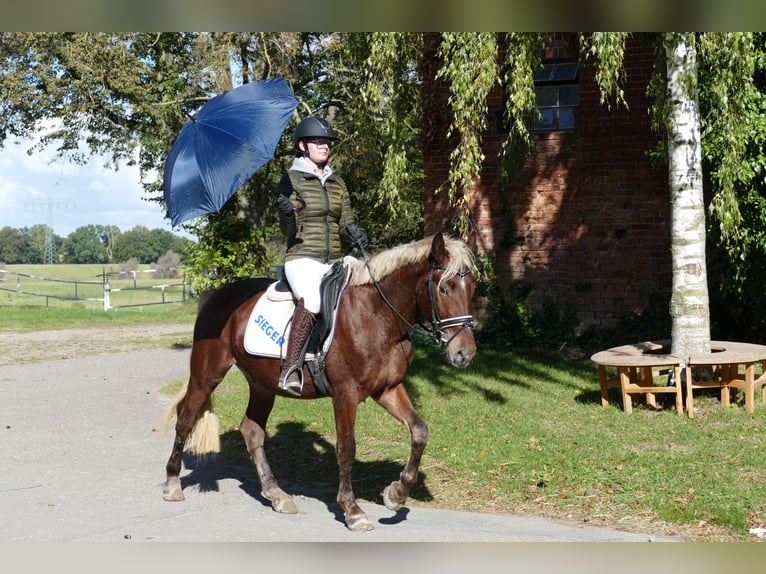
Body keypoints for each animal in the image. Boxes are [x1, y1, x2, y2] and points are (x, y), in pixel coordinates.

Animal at [160, 232, 476, 532]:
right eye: (444, 288)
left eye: (472, 286)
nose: (465, 353)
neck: (377, 315)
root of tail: (216, 295)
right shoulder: (345, 394)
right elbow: (346, 448)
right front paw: (353, 510)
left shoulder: (387, 389)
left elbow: (419, 431)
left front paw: (396, 494)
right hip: (207, 374)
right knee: (185, 419)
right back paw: (172, 483)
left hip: (262, 385)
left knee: (252, 431)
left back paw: (276, 494)